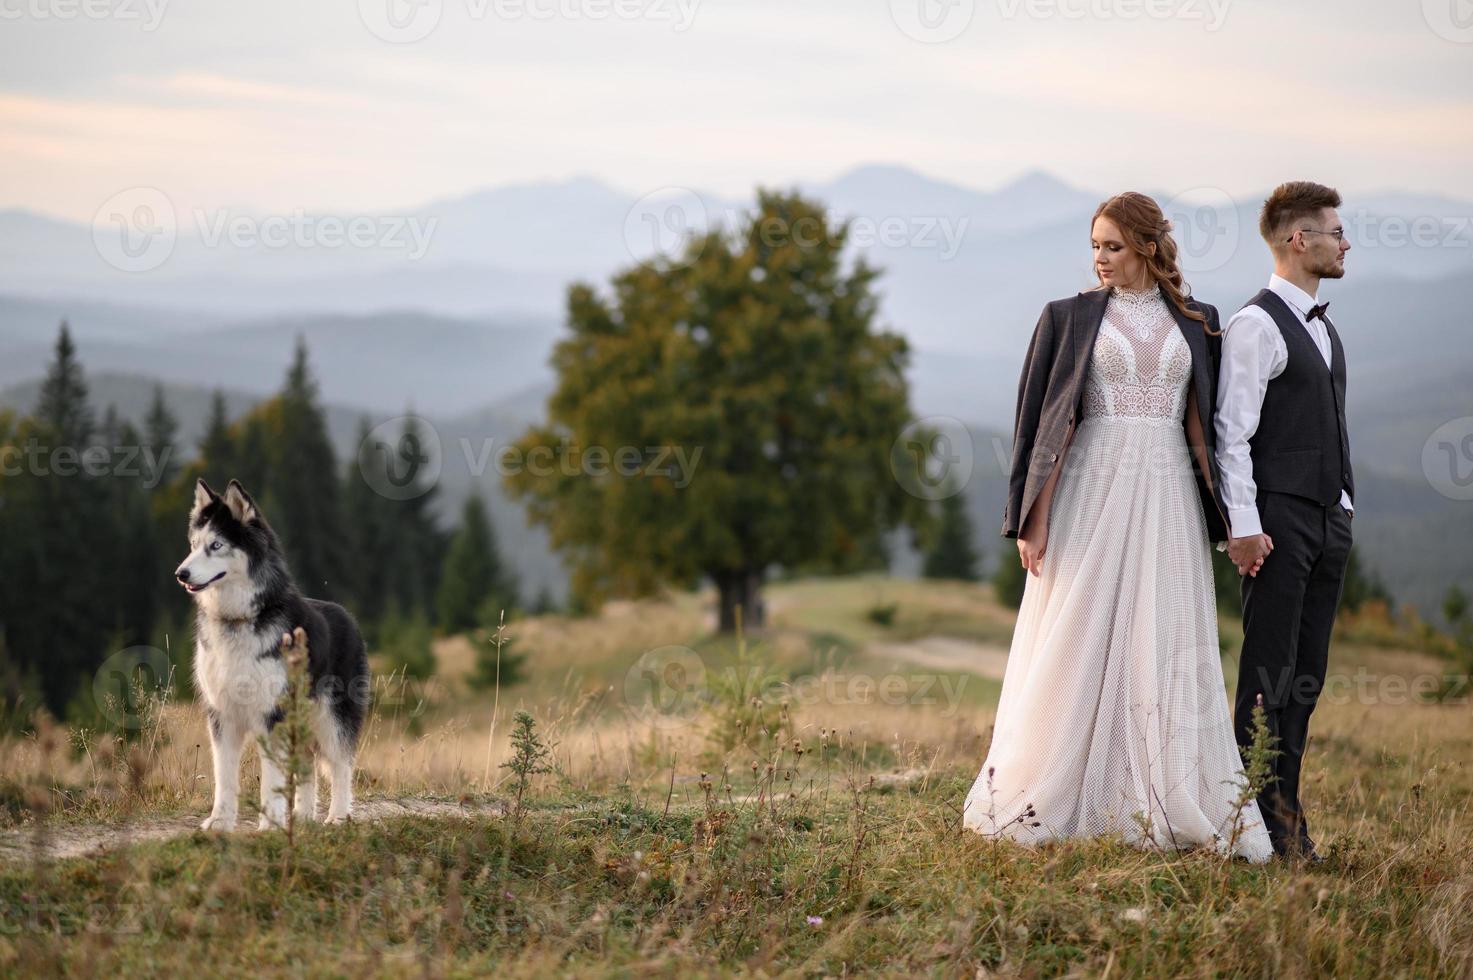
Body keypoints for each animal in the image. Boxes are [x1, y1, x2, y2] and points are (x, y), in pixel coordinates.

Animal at [175, 477, 368, 831]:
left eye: (216, 546)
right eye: (194, 544)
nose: (181, 574)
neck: (239, 619)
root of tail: (347, 615)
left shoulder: (272, 714)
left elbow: (271, 778)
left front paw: (270, 826)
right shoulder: (222, 715)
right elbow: (224, 776)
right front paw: (220, 821)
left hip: (332, 719)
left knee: (341, 765)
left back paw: (337, 816)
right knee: (307, 763)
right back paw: (303, 817)